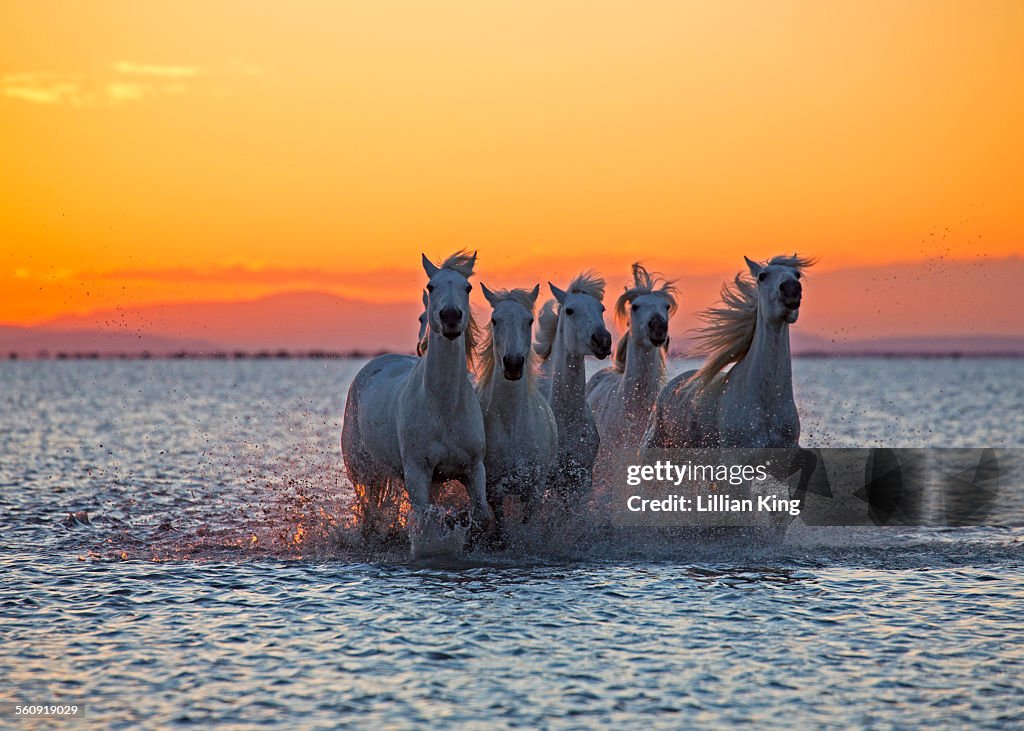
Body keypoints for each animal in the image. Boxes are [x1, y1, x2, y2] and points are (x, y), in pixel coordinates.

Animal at [339, 250, 491, 552]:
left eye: (467, 288)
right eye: (431, 287)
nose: (451, 317)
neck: (445, 407)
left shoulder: (473, 470)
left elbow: (480, 514)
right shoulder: (418, 474)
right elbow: (425, 519)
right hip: (363, 473)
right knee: (369, 513)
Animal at [475, 282, 557, 536]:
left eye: (529, 321)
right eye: (494, 320)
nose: (512, 364)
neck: (512, 425)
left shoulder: (533, 491)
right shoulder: (494, 490)